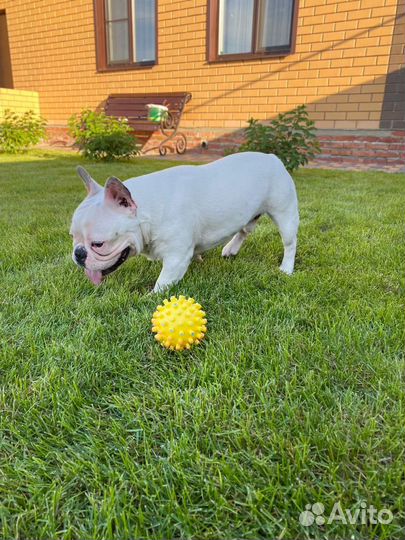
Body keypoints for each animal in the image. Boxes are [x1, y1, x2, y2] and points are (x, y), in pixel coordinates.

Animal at [69, 150, 296, 294]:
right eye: (73, 237)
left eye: (98, 244)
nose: (78, 254)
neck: (146, 211)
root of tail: (272, 158)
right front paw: (198, 258)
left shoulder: (175, 258)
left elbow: (162, 283)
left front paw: (150, 297)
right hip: (249, 214)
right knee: (244, 230)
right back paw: (230, 249)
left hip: (285, 213)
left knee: (289, 243)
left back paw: (286, 269)